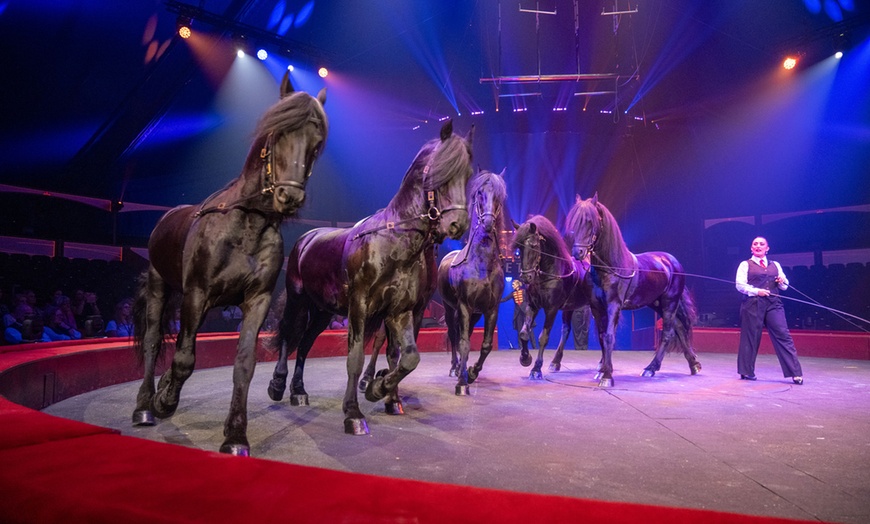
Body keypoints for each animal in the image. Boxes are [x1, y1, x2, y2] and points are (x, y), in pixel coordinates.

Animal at [131, 74, 328, 454]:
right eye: (278, 132)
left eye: (317, 143)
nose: (290, 196)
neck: (247, 223)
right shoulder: (196, 294)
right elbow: (184, 359)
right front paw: (165, 400)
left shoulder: (257, 299)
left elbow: (244, 363)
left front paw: (236, 434)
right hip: (160, 286)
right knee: (152, 342)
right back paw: (146, 405)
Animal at [268, 121, 476, 436]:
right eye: (442, 171)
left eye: (468, 174)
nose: (456, 224)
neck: (394, 242)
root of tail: (306, 239)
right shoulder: (360, 307)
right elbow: (355, 359)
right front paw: (353, 413)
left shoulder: (400, 312)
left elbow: (407, 356)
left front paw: (381, 391)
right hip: (299, 301)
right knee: (288, 335)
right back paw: (279, 385)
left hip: (322, 312)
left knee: (304, 345)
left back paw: (299, 391)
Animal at [436, 170, 510, 396]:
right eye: (479, 193)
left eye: (499, 196)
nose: (487, 223)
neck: (482, 265)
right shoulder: (464, 307)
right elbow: (464, 343)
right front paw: (462, 382)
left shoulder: (490, 309)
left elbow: (485, 345)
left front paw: (471, 372)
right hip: (450, 309)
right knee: (454, 335)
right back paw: (454, 368)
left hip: (475, 314)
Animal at [510, 215, 592, 378]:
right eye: (520, 248)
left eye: (534, 245)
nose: (526, 277)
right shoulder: (533, 306)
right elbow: (523, 333)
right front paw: (525, 358)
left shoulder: (551, 309)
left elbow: (543, 337)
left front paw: (536, 369)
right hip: (569, 308)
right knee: (565, 330)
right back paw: (555, 362)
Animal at [564, 194, 700, 386]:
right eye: (574, 222)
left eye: (590, 221)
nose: (578, 253)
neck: (610, 268)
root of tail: (672, 262)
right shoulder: (596, 307)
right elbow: (602, 337)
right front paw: (602, 370)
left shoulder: (613, 305)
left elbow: (609, 337)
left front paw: (607, 376)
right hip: (656, 303)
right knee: (679, 327)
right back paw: (693, 364)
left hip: (669, 303)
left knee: (668, 333)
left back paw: (651, 368)